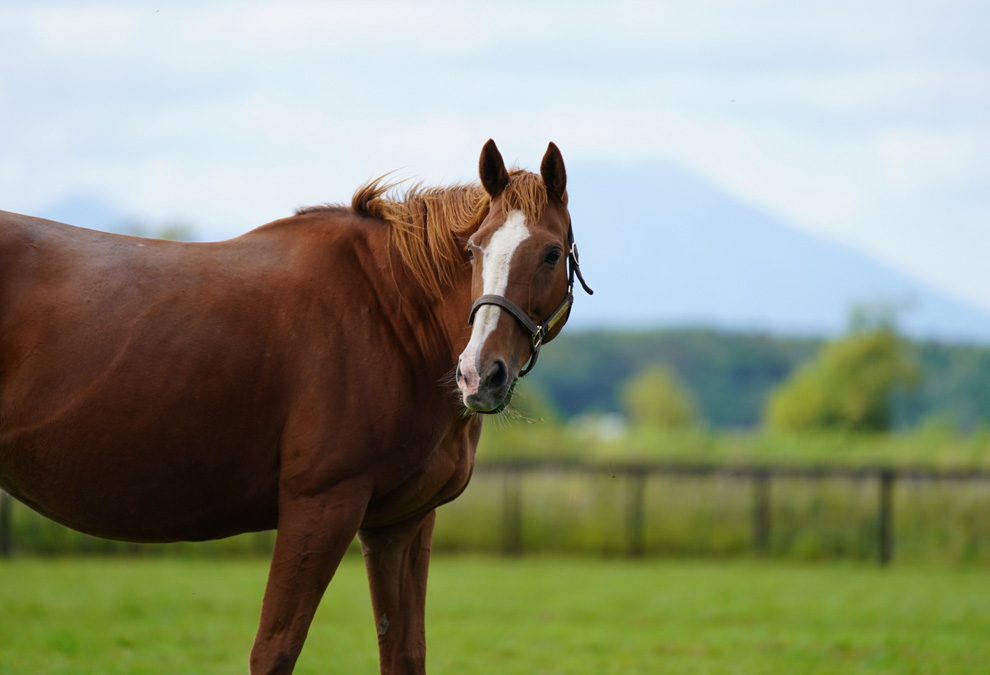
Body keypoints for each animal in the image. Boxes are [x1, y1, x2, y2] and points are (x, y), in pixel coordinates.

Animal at [0, 139, 591, 674]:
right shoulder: (322, 506)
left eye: (550, 253)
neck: (390, 313)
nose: (478, 375)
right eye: (473, 250)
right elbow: (275, 650)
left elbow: (403, 654)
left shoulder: (400, 522)